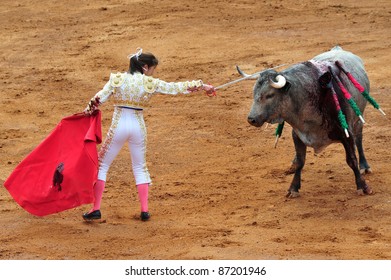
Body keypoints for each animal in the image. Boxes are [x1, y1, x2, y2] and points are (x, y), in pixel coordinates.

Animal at [243, 46, 376, 197]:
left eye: (270, 95)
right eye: (254, 93)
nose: (251, 119)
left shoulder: (346, 133)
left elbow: (352, 160)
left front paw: (363, 186)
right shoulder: (298, 134)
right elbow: (300, 161)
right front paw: (293, 188)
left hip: (358, 120)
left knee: (359, 140)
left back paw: (364, 166)